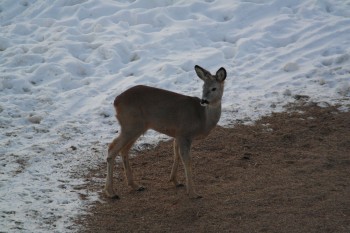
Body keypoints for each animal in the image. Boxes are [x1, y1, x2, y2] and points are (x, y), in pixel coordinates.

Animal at [104, 64, 227, 199]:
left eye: (214, 88)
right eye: (203, 87)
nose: (203, 101)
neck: (202, 118)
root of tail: (116, 102)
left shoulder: (177, 134)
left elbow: (176, 155)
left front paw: (175, 181)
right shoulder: (185, 133)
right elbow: (187, 160)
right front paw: (193, 192)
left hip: (137, 127)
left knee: (124, 150)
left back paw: (135, 185)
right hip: (130, 125)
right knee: (112, 148)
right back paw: (111, 192)